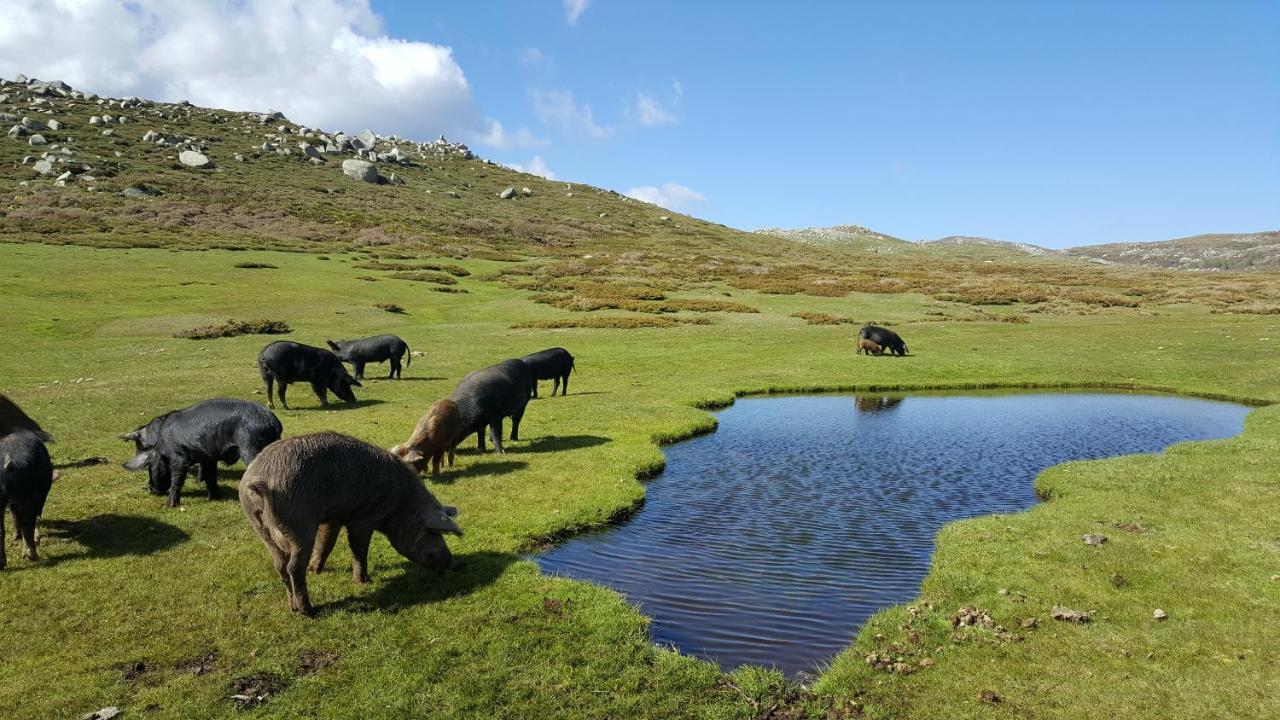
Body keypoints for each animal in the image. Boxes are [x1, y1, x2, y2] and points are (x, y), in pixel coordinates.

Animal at [120, 397, 282, 504]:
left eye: (149, 468)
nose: (149, 489)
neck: (159, 440)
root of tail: (273, 422)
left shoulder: (178, 457)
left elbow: (177, 479)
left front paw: (169, 505)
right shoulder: (208, 459)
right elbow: (210, 478)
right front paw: (213, 498)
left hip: (251, 448)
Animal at [238, 427, 463, 614]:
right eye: (432, 531)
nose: (453, 563)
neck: (400, 504)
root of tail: (260, 481)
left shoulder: (333, 518)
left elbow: (326, 544)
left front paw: (316, 570)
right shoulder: (363, 519)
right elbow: (359, 549)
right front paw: (364, 582)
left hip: (261, 528)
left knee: (280, 566)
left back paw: (293, 608)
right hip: (299, 523)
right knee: (293, 567)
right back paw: (308, 611)